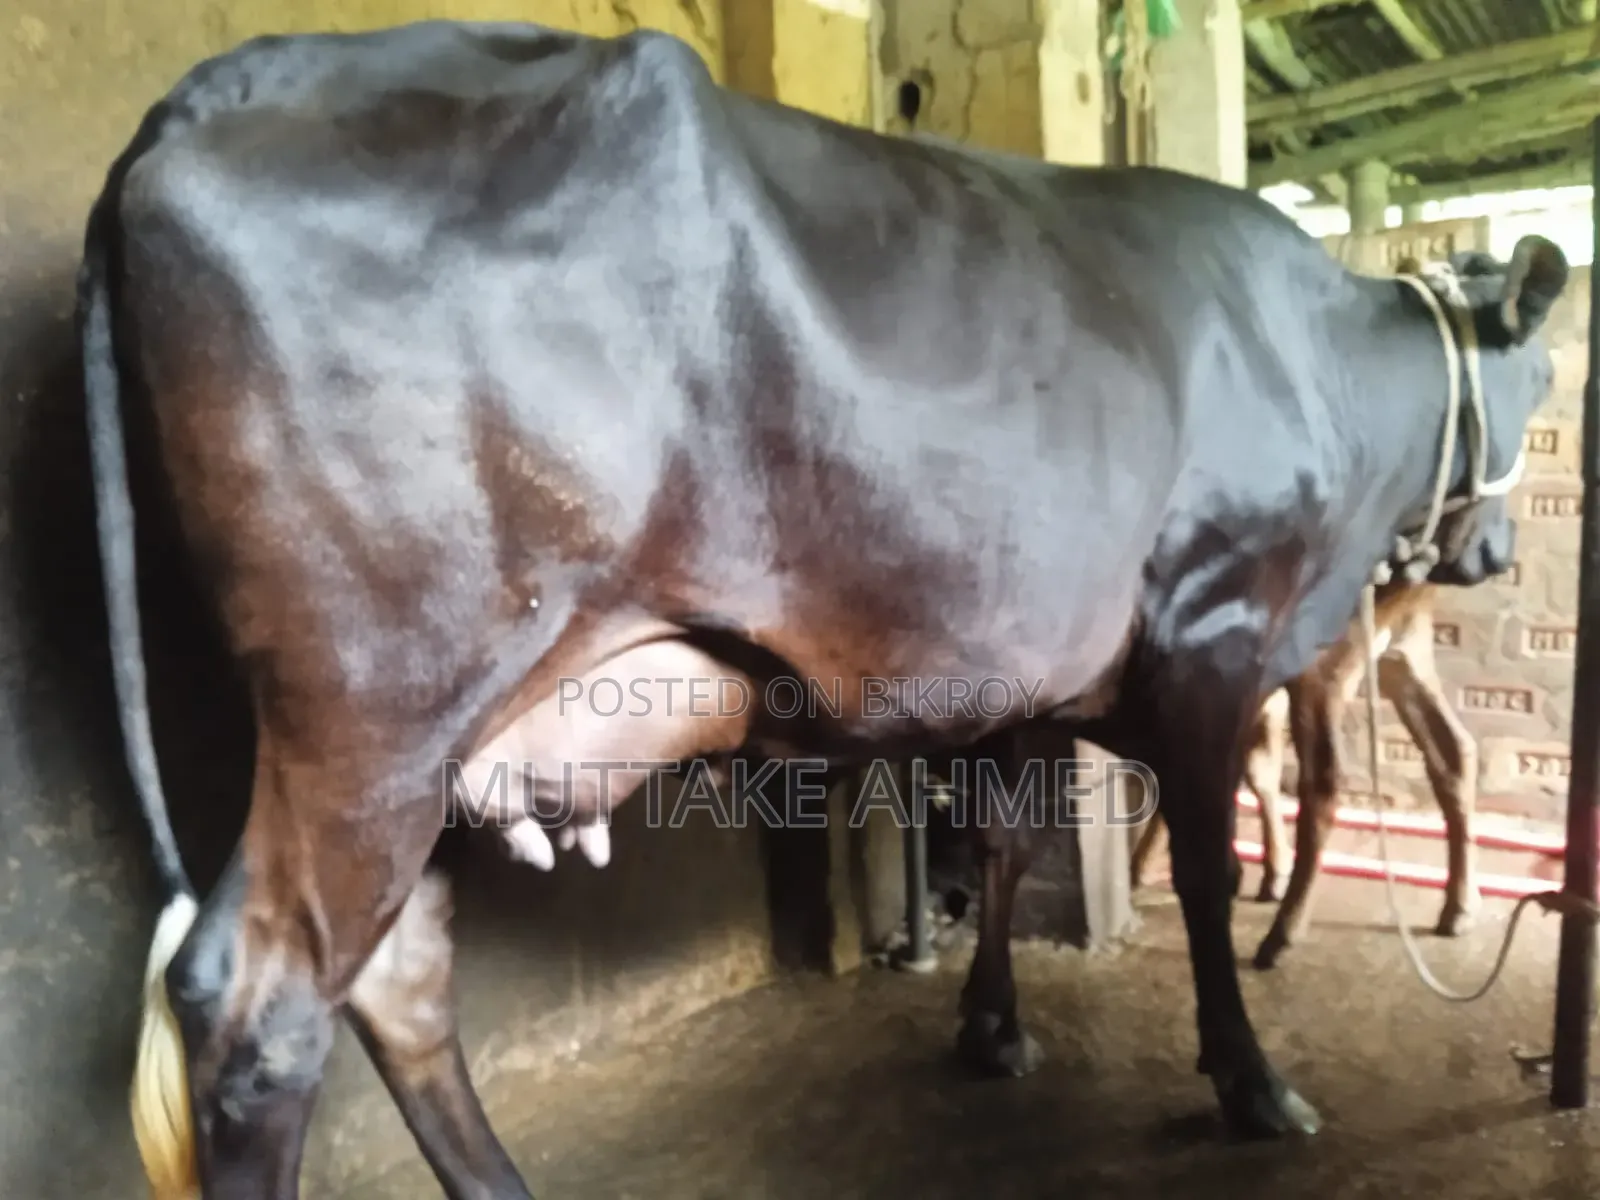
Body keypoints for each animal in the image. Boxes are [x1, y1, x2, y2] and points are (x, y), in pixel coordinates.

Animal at [1127, 578, 1482, 967]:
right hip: (1403, 646)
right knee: (1455, 751)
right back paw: (1460, 908)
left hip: (1327, 658)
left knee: (1324, 780)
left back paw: (1282, 935)